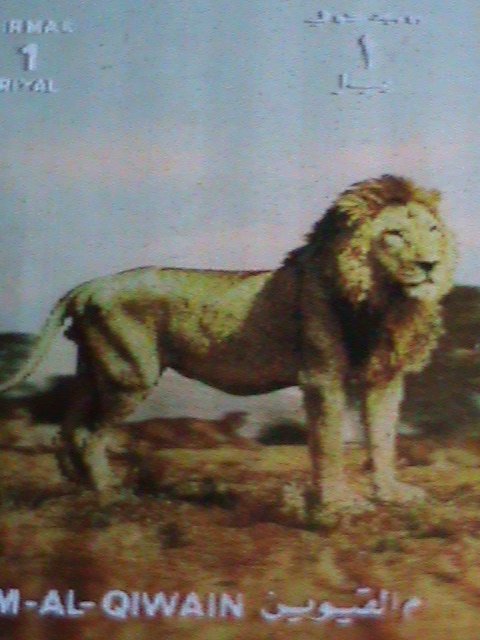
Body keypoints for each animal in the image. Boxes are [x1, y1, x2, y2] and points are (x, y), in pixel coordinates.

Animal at [0, 175, 456, 506]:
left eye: (434, 230)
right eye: (395, 234)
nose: (430, 264)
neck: (382, 300)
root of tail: (87, 286)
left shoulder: (385, 379)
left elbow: (383, 437)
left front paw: (391, 494)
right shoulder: (322, 377)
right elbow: (328, 442)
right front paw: (337, 503)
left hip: (94, 372)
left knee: (66, 429)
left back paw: (74, 485)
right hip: (129, 375)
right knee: (88, 435)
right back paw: (109, 493)